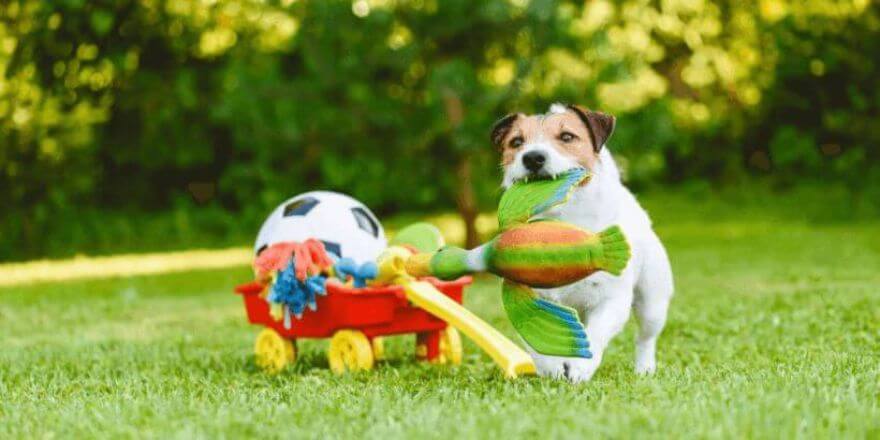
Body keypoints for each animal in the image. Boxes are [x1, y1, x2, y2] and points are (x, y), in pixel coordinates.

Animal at [488, 103, 672, 382]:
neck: (561, 224)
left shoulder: (611, 299)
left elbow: (594, 336)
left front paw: (579, 368)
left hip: (652, 302)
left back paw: (645, 368)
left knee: (645, 338)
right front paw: (551, 366)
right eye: (516, 142)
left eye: (567, 137)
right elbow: (535, 340)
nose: (532, 157)